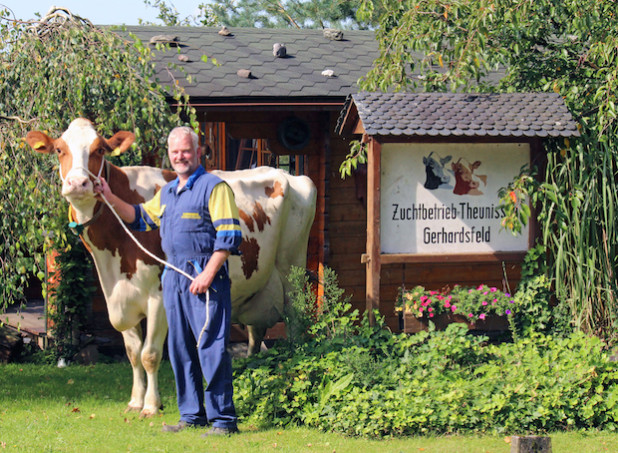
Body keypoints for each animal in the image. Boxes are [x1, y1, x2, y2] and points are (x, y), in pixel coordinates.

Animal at [25, 119, 316, 416]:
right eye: (59, 149)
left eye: (99, 150)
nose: (78, 183)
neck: (111, 260)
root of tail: (290, 175)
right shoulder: (118, 294)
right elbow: (133, 352)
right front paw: (135, 400)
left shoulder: (158, 297)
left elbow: (150, 354)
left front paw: (151, 405)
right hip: (258, 282)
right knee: (255, 333)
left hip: (292, 272)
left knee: (296, 323)